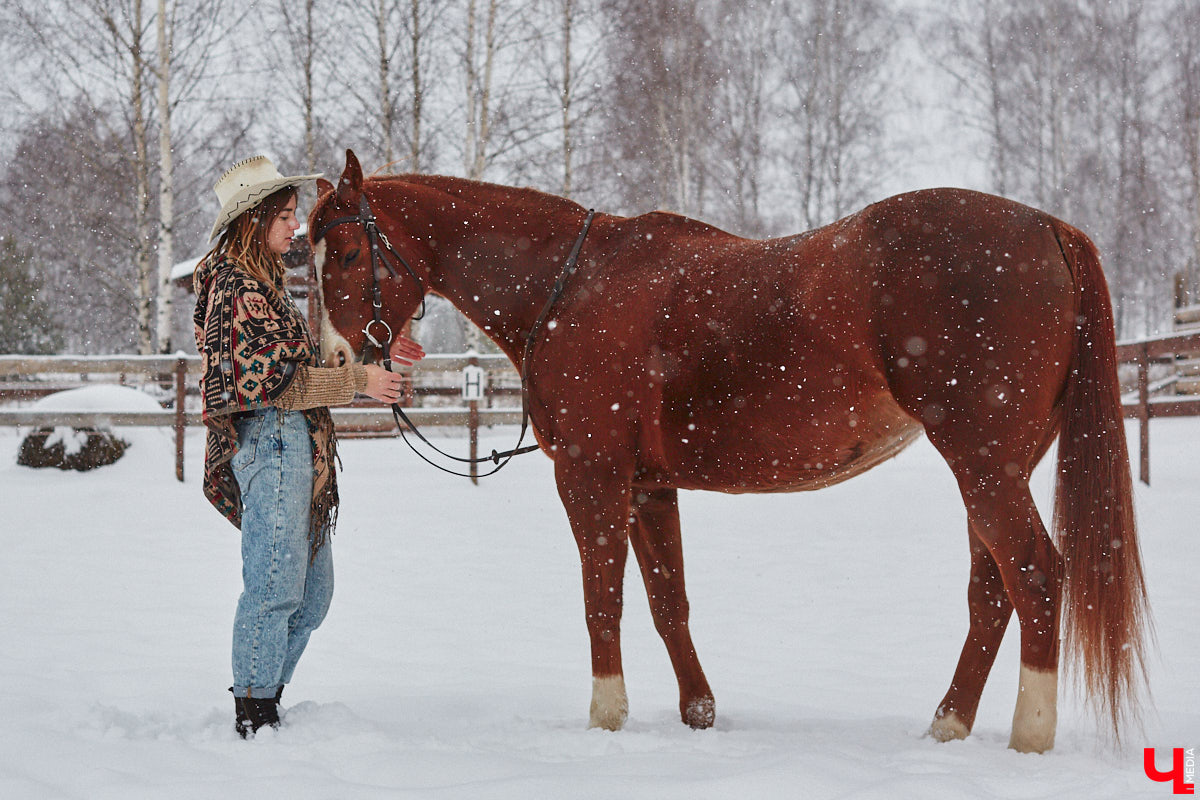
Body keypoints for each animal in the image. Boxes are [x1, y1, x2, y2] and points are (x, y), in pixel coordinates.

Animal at [309, 151, 1142, 758]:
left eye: (347, 251)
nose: (344, 361)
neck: (567, 286)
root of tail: (1049, 228)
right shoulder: (648, 487)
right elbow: (667, 601)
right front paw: (699, 714)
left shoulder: (591, 475)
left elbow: (602, 599)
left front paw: (606, 718)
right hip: (1000, 465)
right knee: (993, 590)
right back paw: (948, 724)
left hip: (984, 461)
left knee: (1034, 574)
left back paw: (1029, 736)